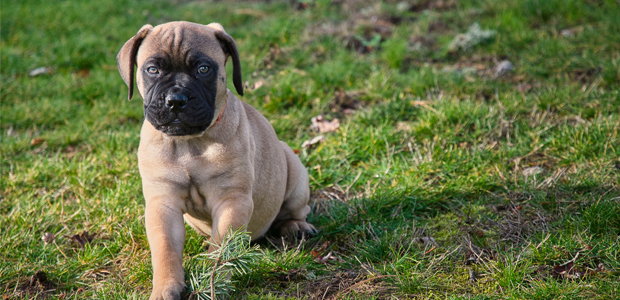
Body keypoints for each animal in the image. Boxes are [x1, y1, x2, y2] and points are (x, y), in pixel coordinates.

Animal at [116, 21, 318, 300]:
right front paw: (166, 288)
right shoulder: (162, 205)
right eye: (152, 70)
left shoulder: (231, 201)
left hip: (295, 173)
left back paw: (296, 227)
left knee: (296, 210)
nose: (176, 100)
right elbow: (166, 250)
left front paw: (212, 284)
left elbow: (221, 250)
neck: (190, 144)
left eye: (203, 69)